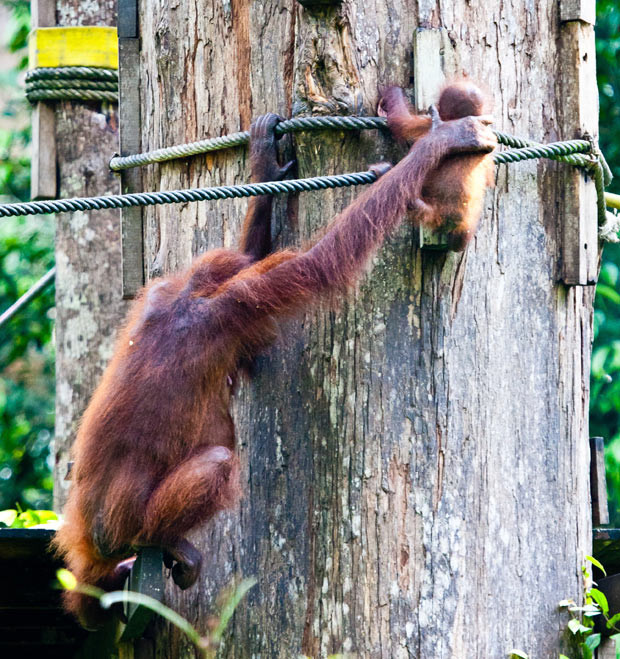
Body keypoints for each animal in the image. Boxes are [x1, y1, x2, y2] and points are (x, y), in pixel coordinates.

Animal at [53, 103, 496, 629]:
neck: (188, 300)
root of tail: (83, 539)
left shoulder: (180, 285)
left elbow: (246, 255)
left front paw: (263, 162)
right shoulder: (242, 305)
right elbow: (318, 264)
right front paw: (440, 142)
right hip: (119, 530)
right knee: (217, 465)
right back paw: (163, 542)